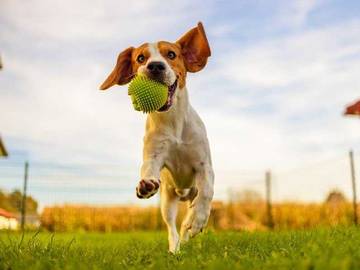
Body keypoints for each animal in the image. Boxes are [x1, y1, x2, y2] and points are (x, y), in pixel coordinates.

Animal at [100, 22, 214, 252]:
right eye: (140, 58)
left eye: (171, 54)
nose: (155, 66)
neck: (173, 122)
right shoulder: (154, 155)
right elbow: (148, 169)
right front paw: (145, 185)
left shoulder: (204, 166)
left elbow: (207, 192)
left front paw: (197, 221)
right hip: (167, 202)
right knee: (172, 228)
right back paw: (175, 249)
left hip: (190, 192)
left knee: (190, 212)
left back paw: (190, 224)